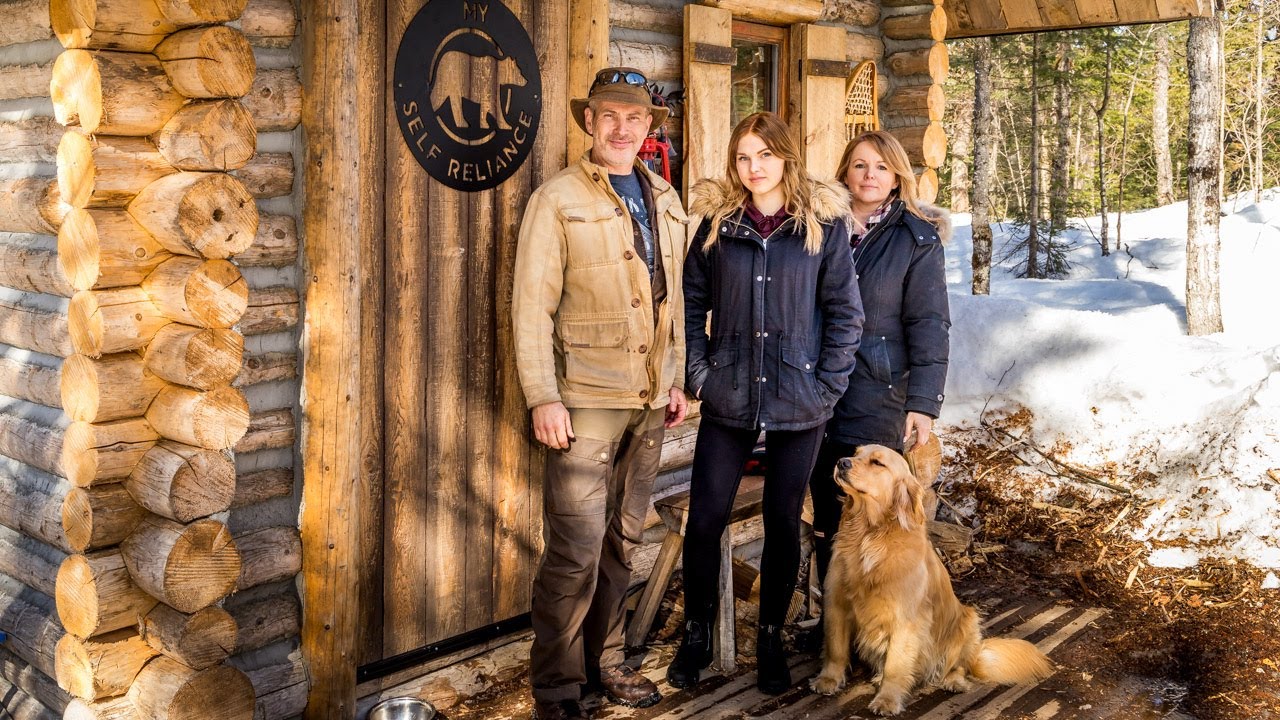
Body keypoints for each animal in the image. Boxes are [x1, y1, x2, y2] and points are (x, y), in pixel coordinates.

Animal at [808, 443, 1049, 712]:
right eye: (856, 453)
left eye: (877, 463)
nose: (842, 462)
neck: (870, 535)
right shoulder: (837, 601)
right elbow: (835, 648)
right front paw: (828, 680)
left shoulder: (906, 618)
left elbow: (896, 665)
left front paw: (887, 699)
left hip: (967, 623)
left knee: (957, 666)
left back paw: (952, 681)